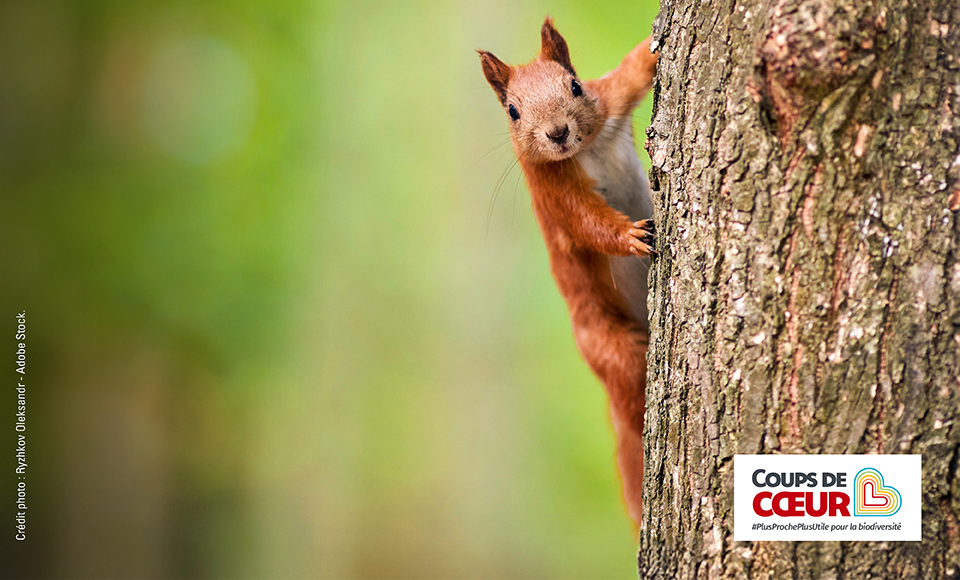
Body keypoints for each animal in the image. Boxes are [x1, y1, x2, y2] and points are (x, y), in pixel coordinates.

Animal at [479, 17, 658, 528]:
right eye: (513, 112)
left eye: (575, 85)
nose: (557, 133)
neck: (587, 148)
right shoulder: (552, 191)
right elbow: (587, 223)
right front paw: (630, 237)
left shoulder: (611, 100)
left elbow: (634, 69)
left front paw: (655, 43)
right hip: (611, 348)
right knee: (631, 395)